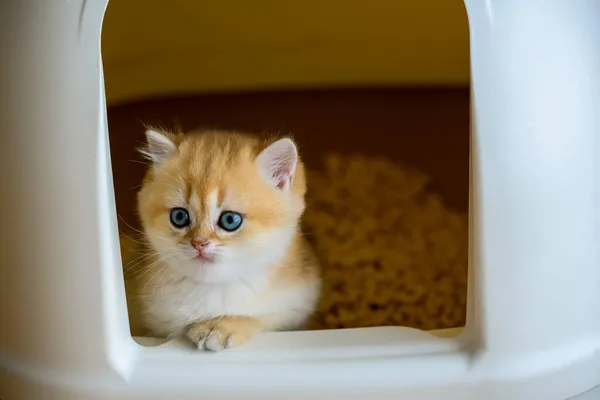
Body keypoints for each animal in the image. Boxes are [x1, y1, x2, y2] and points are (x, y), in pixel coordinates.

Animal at [122, 129, 324, 350]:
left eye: (230, 220)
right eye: (179, 217)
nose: (199, 243)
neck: (215, 287)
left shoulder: (294, 308)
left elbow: (261, 317)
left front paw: (220, 326)